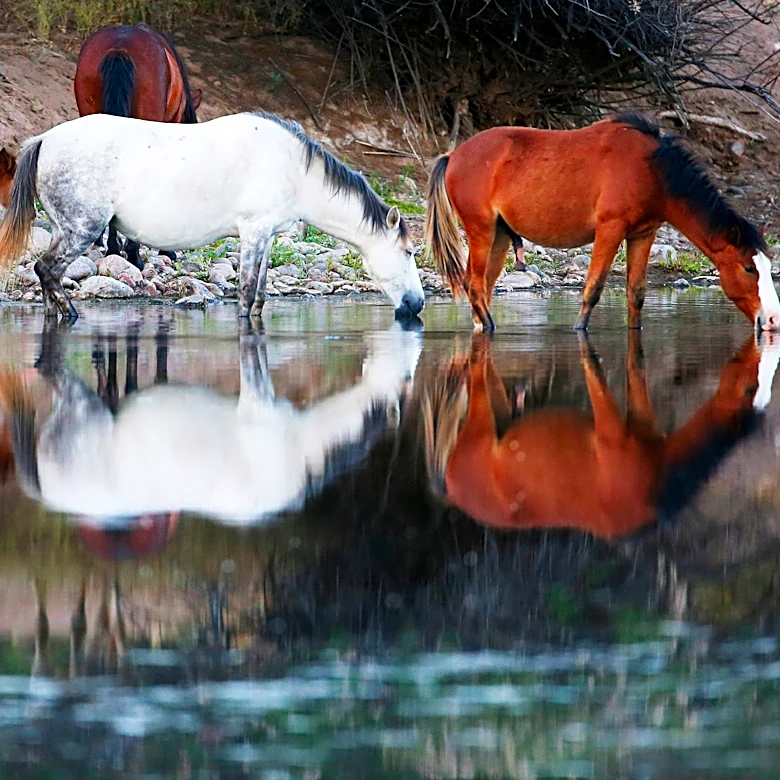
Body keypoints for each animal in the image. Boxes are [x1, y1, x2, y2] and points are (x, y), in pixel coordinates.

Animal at [0, 112, 425, 322]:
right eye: (409, 252)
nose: (417, 304)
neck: (295, 170)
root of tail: (45, 140)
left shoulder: (266, 236)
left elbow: (259, 295)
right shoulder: (254, 232)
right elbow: (248, 293)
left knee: (47, 276)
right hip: (81, 230)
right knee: (47, 270)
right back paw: (71, 315)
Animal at [425, 112, 780, 333]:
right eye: (748, 268)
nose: (773, 319)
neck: (653, 171)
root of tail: (453, 156)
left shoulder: (643, 234)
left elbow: (636, 293)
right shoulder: (610, 229)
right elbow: (593, 288)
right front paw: (579, 330)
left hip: (499, 235)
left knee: (483, 287)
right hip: (481, 230)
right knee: (474, 285)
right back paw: (490, 327)